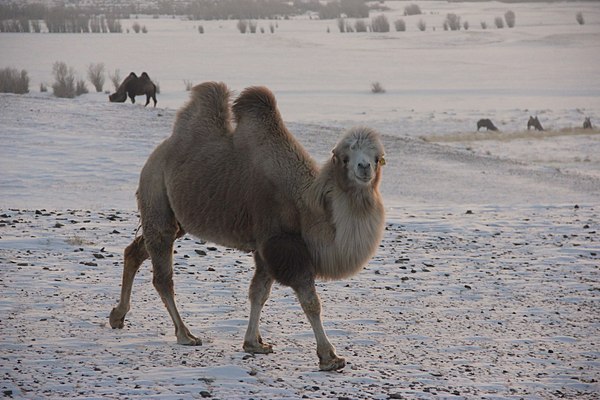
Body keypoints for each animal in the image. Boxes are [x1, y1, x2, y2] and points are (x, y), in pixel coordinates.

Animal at [110, 82, 386, 372]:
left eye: (378, 158)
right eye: (344, 157)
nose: (364, 167)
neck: (307, 206)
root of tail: (156, 154)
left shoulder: (266, 247)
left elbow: (259, 293)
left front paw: (254, 344)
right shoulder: (283, 243)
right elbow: (310, 301)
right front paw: (329, 357)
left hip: (176, 217)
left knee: (136, 250)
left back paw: (118, 316)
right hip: (156, 193)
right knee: (162, 275)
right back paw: (185, 334)